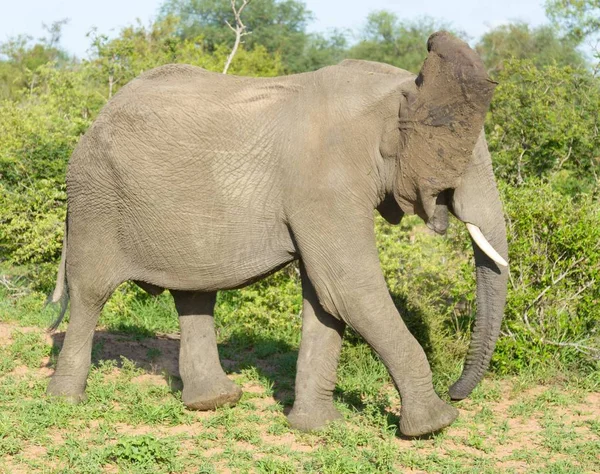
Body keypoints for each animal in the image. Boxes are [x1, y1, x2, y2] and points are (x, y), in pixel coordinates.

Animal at [45, 30, 506, 436]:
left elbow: (325, 299)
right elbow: (348, 289)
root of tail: (96, 117)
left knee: (195, 294)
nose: (457, 391)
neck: (393, 91)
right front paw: (436, 425)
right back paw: (65, 401)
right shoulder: (324, 183)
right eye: (462, 158)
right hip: (96, 199)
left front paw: (318, 428)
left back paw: (216, 401)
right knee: (90, 293)